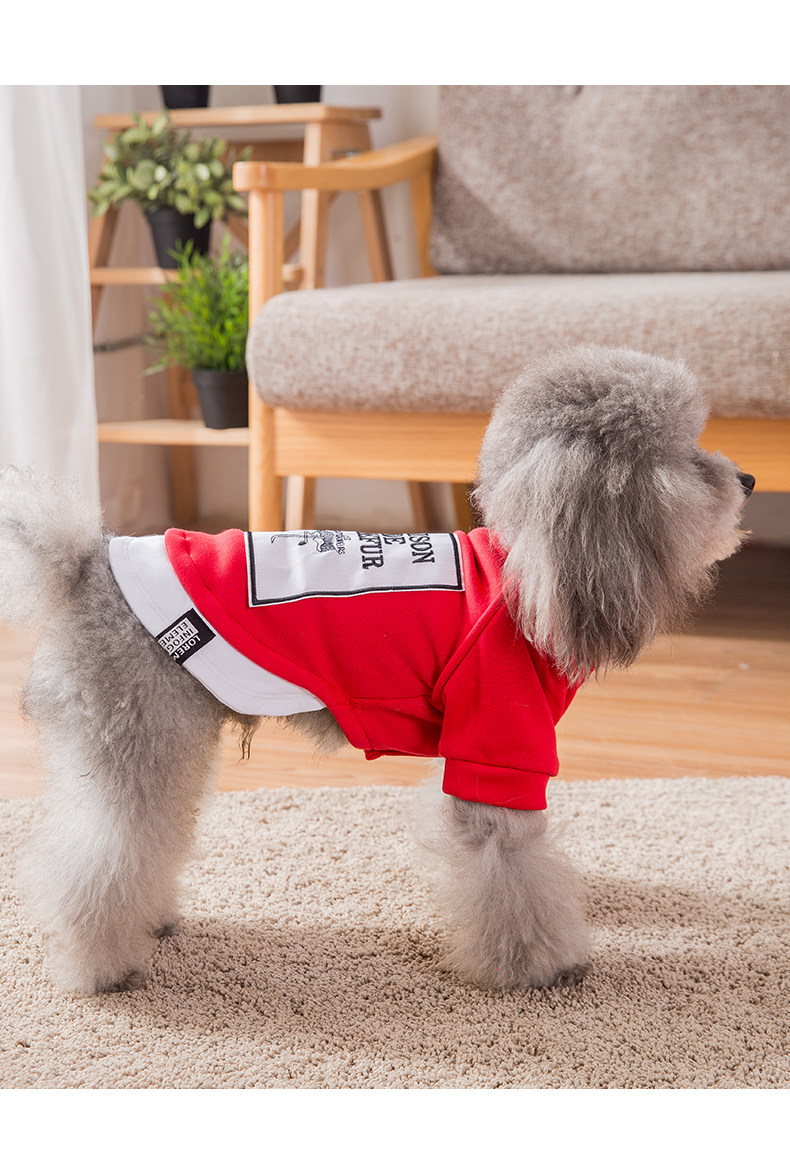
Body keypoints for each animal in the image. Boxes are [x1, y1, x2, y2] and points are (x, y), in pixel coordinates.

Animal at [0, 345, 753, 995]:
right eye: (687, 454)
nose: (747, 479)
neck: (530, 574)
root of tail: (83, 564)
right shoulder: (496, 753)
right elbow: (512, 870)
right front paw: (540, 966)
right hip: (140, 737)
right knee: (98, 856)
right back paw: (99, 968)